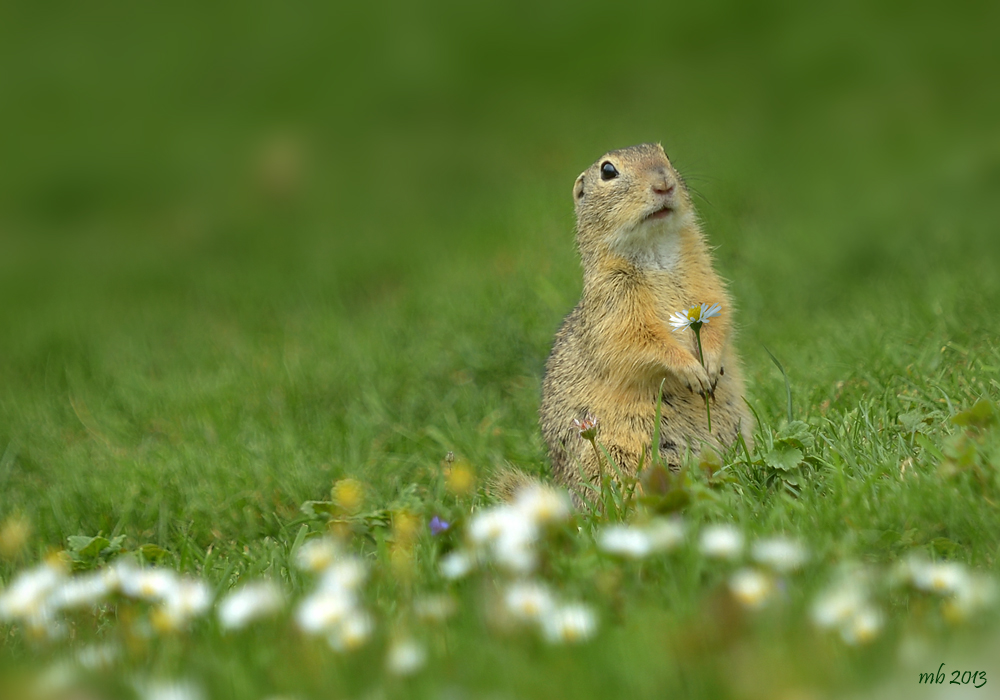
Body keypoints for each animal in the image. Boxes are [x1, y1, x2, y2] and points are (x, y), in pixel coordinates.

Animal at [544, 141, 752, 492]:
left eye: (664, 153)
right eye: (608, 171)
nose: (663, 183)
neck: (656, 254)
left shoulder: (709, 285)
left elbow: (720, 315)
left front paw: (710, 364)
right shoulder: (615, 306)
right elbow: (640, 343)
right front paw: (693, 372)